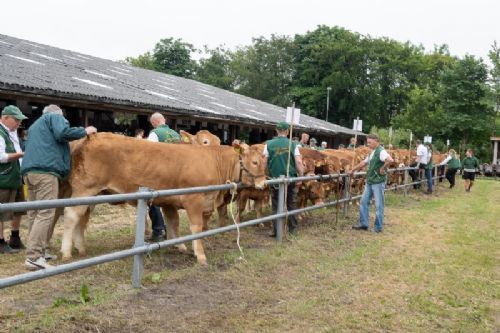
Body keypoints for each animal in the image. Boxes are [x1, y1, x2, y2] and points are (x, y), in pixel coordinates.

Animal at [60, 133, 268, 264]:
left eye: (264, 161)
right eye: (255, 162)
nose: (264, 183)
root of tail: (88, 138)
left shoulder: (169, 201)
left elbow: (173, 222)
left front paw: (180, 246)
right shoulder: (194, 200)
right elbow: (196, 228)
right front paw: (200, 255)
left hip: (92, 195)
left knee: (82, 218)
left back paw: (81, 248)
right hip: (84, 190)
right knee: (71, 216)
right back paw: (66, 252)